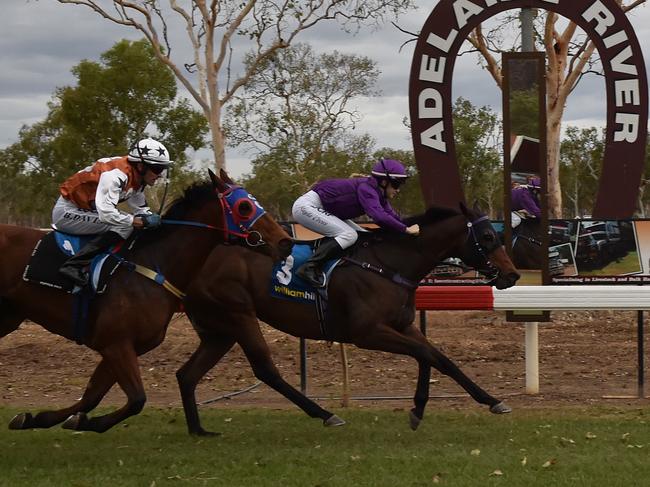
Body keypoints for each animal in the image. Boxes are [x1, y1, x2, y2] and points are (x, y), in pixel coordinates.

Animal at [0, 170, 290, 432]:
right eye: (244, 207)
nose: (285, 242)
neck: (152, 265)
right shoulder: (116, 344)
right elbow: (136, 399)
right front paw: (90, 422)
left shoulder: (124, 347)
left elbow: (92, 396)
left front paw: (41, 419)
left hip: (9, 319)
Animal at [176, 202, 516, 434]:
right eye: (488, 236)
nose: (512, 274)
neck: (389, 264)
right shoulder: (367, 333)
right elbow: (424, 354)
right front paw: (418, 408)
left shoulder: (403, 325)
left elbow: (439, 358)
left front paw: (490, 400)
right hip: (238, 315)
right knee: (265, 370)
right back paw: (325, 414)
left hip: (219, 329)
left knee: (186, 374)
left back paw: (198, 430)